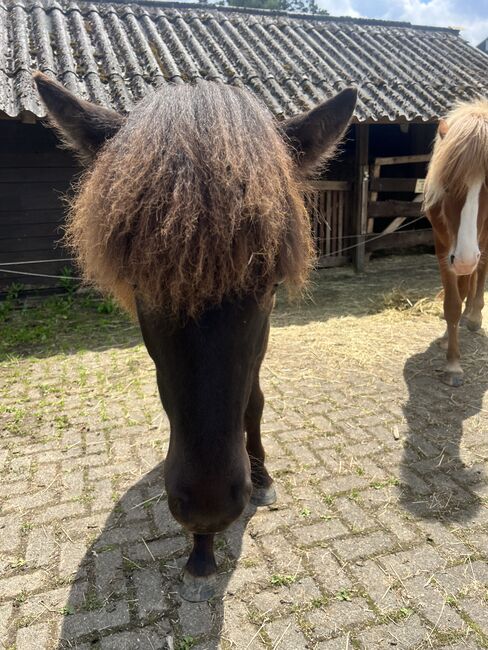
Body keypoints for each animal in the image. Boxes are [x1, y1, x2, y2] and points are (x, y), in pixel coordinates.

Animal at [33, 71, 354, 596]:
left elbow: (253, 404)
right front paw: (201, 553)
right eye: (139, 284)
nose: (209, 506)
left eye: (270, 284)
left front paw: (260, 478)